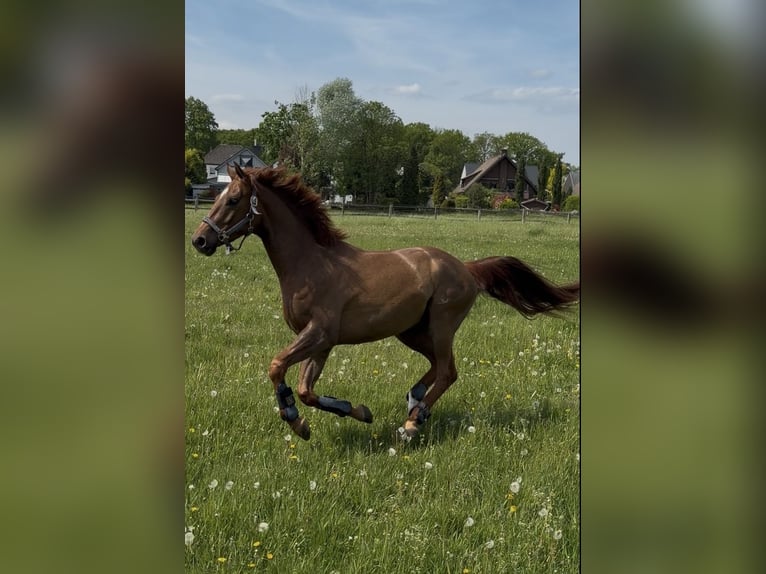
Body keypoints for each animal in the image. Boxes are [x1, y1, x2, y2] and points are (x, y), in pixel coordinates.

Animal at [191, 165, 579, 441]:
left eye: (232, 200)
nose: (199, 240)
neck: (311, 264)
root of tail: (467, 268)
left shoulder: (318, 334)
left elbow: (277, 368)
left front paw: (294, 419)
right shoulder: (321, 342)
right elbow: (306, 390)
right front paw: (354, 412)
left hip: (441, 327)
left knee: (448, 371)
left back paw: (413, 423)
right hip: (411, 331)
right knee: (439, 368)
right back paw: (414, 401)